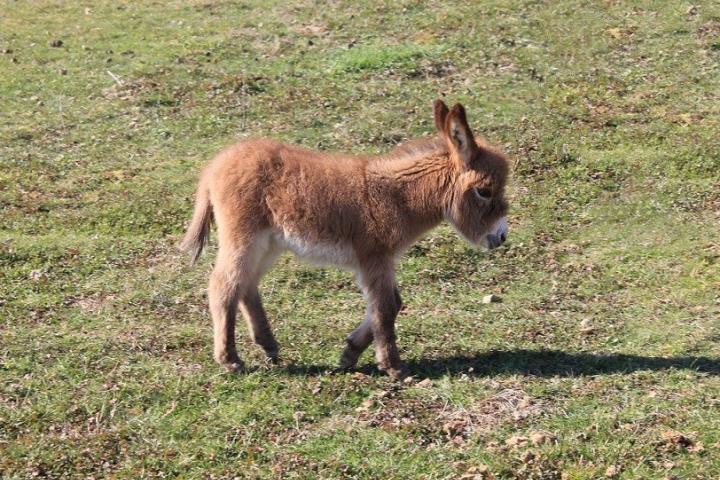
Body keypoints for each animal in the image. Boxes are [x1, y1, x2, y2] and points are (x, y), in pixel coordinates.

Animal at [181, 100, 506, 378]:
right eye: (484, 191)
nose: (501, 237)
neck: (399, 197)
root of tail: (215, 164)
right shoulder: (375, 257)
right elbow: (385, 307)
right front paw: (393, 367)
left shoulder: (380, 261)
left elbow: (391, 304)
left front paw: (350, 353)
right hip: (244, 236)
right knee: (223, 285)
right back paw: (230, 360)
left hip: (268, 244)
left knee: (245, 285)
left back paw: (268, 346)